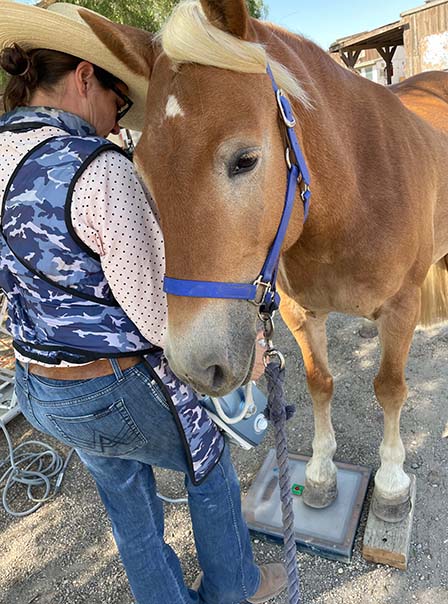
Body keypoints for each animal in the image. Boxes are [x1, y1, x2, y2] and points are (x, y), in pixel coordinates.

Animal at [82, 0, 448, 520]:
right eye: (142, 175)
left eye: (245, 160)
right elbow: (320, 383)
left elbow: (390, 388)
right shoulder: (301, 313)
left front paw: (393, 482)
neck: (355, 191)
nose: (195, 366)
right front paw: (320, 471)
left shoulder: (400, 308)